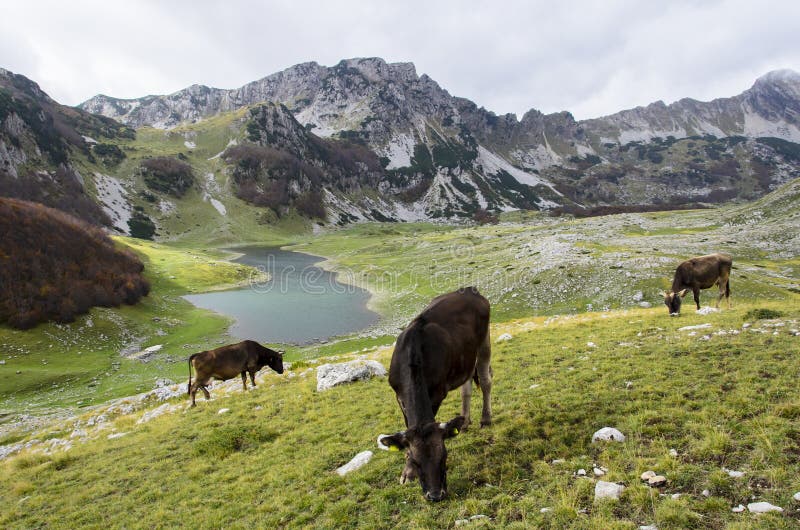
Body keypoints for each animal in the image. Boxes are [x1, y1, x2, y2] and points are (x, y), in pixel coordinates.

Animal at [378, 286, 490, 502]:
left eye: (444, 456)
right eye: (416, 461)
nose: (435, 495)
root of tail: (469, 289)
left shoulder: (438, 393)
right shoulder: (399, 397)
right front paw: (407, 473)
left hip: (484, 344)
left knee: (486, 381)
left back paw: (485, 419)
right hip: (466, 358)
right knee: (466, 389)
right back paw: (464, 422)